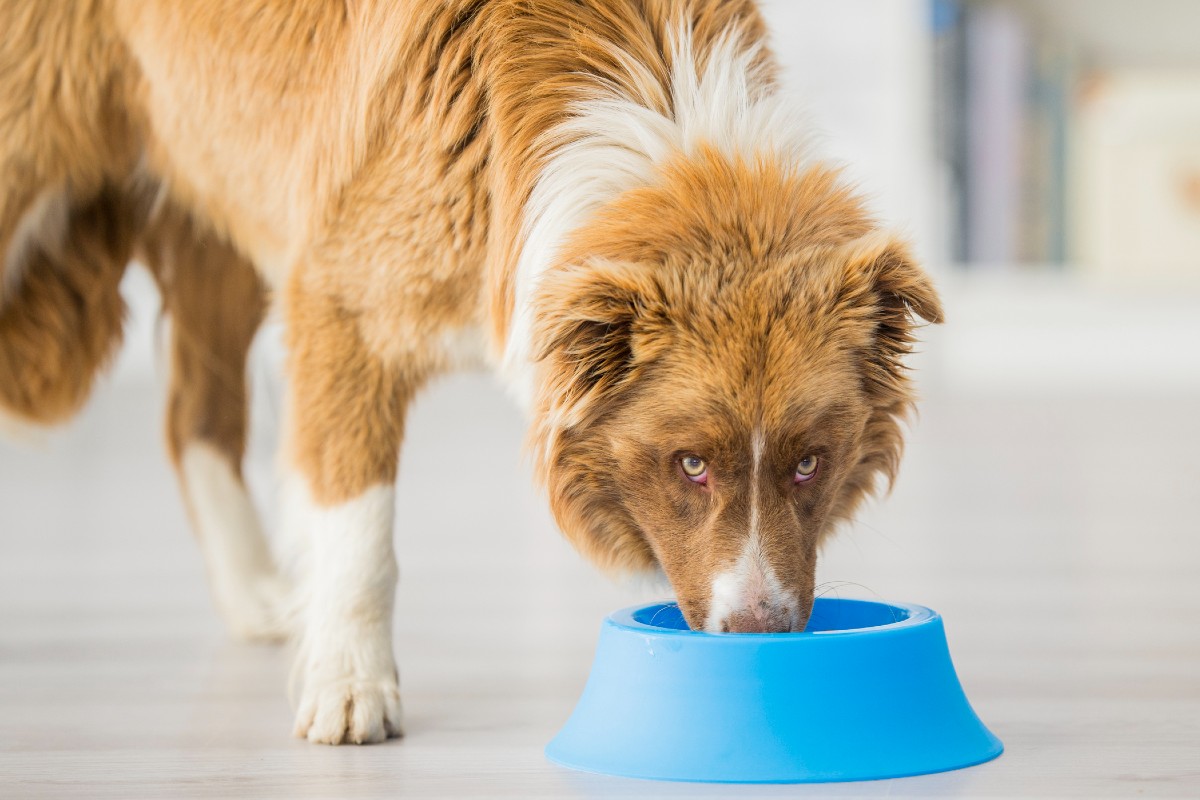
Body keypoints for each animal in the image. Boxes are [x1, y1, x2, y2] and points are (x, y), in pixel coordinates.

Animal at [0, 3, 940, 748]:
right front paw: (350, 685)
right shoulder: (339, 298)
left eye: (811, 463)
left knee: (196, 413)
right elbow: (361, 526)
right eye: (691, 464)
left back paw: (257, 596)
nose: (759, 634)